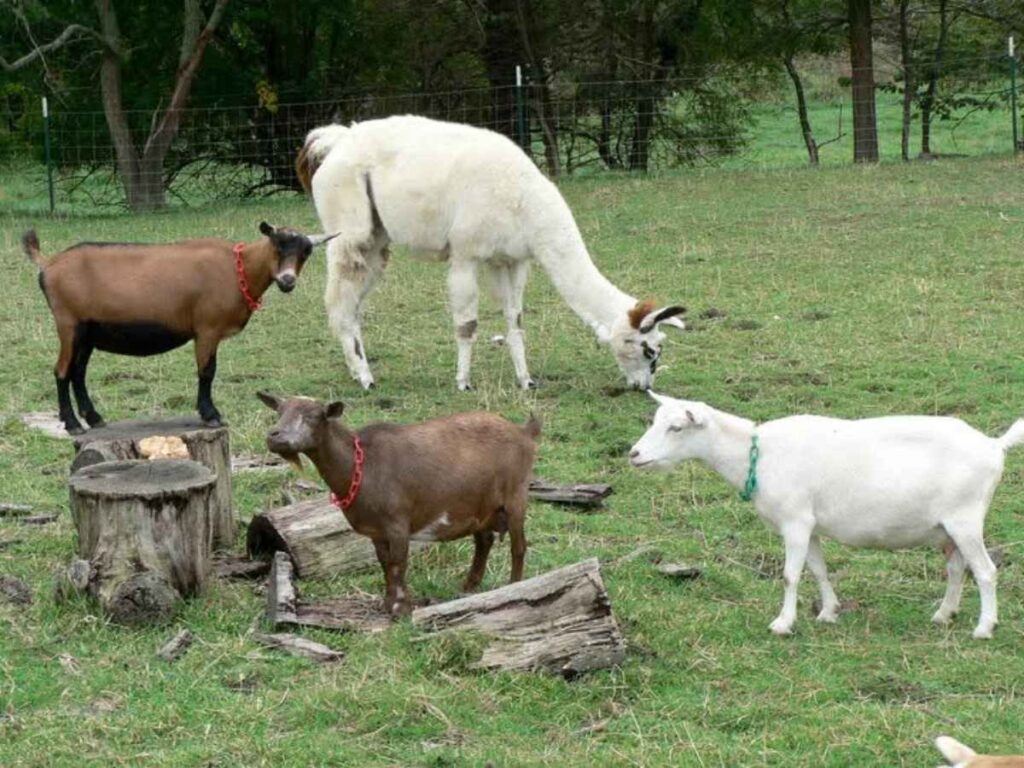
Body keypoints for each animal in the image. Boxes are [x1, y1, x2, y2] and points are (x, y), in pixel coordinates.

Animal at [23, 223, 335, 434]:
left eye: (306, 252)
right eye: (277, 245)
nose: (287, 280)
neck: (239, 268)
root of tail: (48, 263)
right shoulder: (207, 329)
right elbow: (207, 372)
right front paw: (210, 415)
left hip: (88, 331)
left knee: (77, 372)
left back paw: (94, 418)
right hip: (68, 324)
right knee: (62, 371)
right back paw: (72, 423)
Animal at [258, 391, 540, 616]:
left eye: (314, 416)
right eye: (279, 412)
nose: (274, 437)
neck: (362, 464)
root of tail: (524, 433)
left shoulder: (397, 523)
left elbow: (399, 563)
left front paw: (401, 608)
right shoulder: (376, 531)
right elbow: (385, 563)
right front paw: (387, 603)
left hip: (516, 495)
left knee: (518, 546)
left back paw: (514, 586)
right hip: (480, 505)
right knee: (484, 541)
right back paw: (469, 586)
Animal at [295, 115, 686, 392]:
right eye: (649, 349)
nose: (643, 386)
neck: (523, 201)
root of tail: (336, 140)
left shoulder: (509, 260)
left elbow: (515, 321)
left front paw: (526, 381)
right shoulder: (466, 254)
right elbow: (468, 324)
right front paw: (463, 382)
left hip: (378, 239)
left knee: (353, 303)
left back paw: (357, 369)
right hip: (350, 227)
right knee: (339, 300)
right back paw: (365, 378)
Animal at [629, 391, 1024, 639]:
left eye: (676, 427)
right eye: (655, 420)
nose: (634, 454)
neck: (757, 454)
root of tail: (994, 445)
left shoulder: (795, 521)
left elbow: (790, 575)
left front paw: (783, 623)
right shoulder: (811, 525)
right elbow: (818, 569)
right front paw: (828, 612)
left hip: (965, 519)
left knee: (986, 572)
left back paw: (983, 628)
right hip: (947, 527)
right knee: (957, 569)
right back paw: (943, 615)